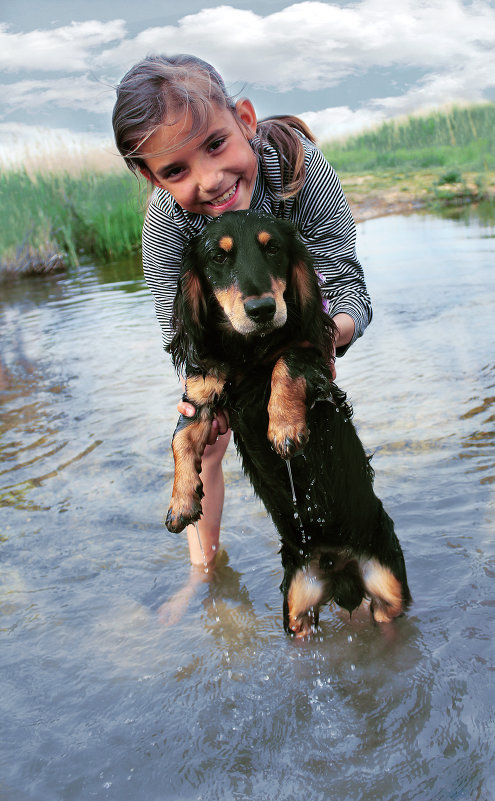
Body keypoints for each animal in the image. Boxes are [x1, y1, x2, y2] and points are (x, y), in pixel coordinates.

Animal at [166, 209, 410, 636]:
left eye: (274, 248)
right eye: (218, 257)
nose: (263, 309)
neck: (246, 352)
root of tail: (338, 565)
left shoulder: (314, 356)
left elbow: (286, 359)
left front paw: (284, 428)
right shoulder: (200, 396)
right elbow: (180, 441)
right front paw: (181, 503)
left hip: (388, 591)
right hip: (298, 607)